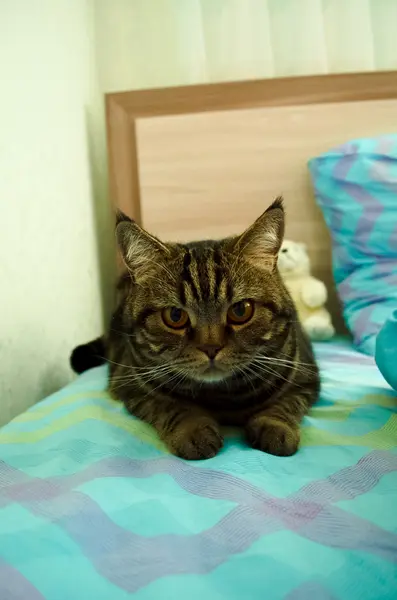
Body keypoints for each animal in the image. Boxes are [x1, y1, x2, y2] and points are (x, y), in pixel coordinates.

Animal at [71, 199, 318, 462]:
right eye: (175, 316)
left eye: (241, 310)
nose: (211, 347)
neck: (220, 398)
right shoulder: (129, 383)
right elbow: (171, 405)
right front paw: (194, 430)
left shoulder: (306, 378)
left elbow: (283, 405)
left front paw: (275, 428)